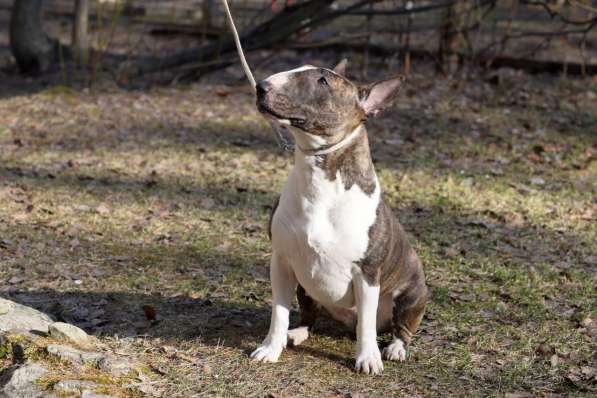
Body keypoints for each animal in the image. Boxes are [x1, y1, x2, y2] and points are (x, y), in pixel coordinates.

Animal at [249, 60, 426, 374]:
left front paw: (368, 359)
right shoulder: (281, 261)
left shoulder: (366, 273)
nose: (261, 87)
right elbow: (279, 312)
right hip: (306, 288)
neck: (318, 177)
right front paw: (271, 348)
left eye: (323, 81)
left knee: (398, 328)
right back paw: (297, 333)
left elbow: (366, 324)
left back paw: (395, 348)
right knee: (310, 316)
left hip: (413, 293)